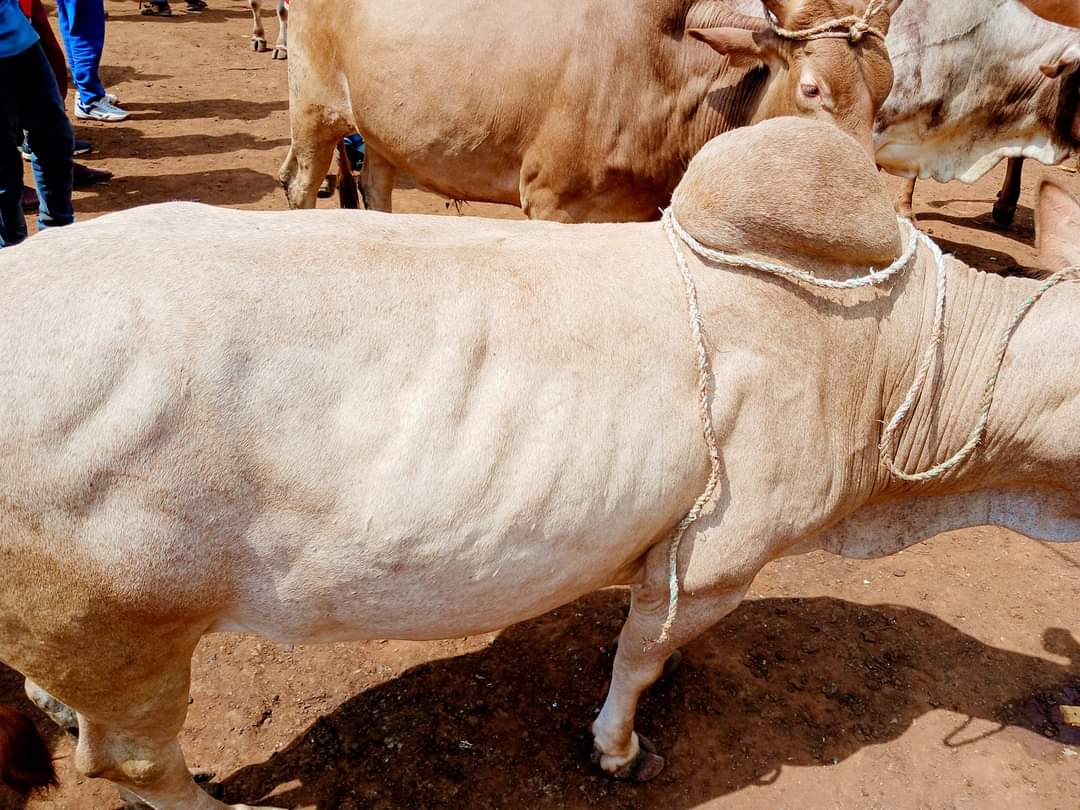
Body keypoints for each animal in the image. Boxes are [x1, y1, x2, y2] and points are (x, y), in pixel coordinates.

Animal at [1, 117, 1078, 808]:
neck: (892, 352)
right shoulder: (718, 557)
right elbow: (637, 657)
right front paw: (621, 749)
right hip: (129, 629)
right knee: (132, 764)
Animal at [279, 0, 903, 220]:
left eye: (886, 90)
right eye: (812, 90)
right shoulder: (548, 202)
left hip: (382, 133)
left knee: (375, 188)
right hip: (313, 112)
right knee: (299, 186)